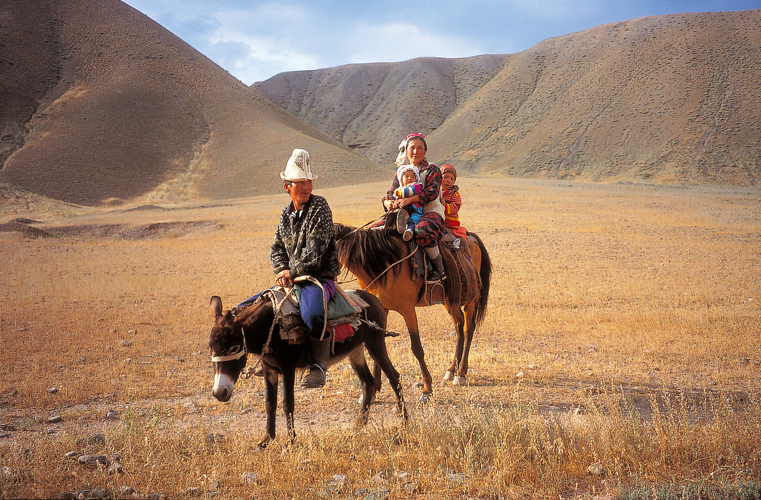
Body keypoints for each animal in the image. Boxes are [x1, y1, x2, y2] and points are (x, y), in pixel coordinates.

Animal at [208, 290, 406, 450]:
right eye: (211, 348)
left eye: (234, 348)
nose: (219, 393)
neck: (270, 329)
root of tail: (373, 298)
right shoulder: (269, 369)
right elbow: (269, 404)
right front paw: (266, 440)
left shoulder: (287, 368)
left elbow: (287, 404)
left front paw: (291, 442)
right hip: (355, 352)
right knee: (368, 382)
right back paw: (359, 426)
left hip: (375, 343)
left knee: (394, 378)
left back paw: (404, 424)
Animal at [334, 226, 492, 402]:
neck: (384, 264)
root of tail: (472, 236)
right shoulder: (381, 309)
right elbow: (377, 348)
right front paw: (374, 390)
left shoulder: (407, 309)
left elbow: (416, 348)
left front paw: (427, 389)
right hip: (450, 299)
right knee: (459, 326)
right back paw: (451, 370)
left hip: (471, 299)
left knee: (468, 329)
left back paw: (461, 374)